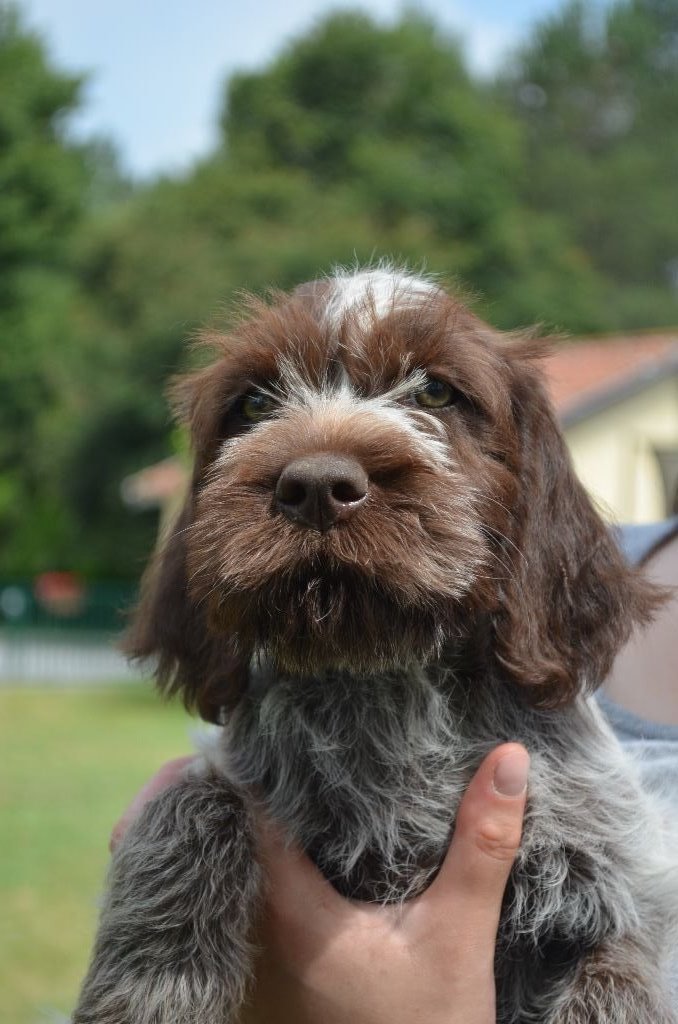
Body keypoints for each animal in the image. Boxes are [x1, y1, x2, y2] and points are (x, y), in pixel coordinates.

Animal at [74, 268, 678, 1023]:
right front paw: (153, 981)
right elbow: (193, 799)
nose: (316, 487)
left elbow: (612, 976)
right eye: (254, 402)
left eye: (435, 392)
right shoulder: (234, 773)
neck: (381, 681)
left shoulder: (607, 878)